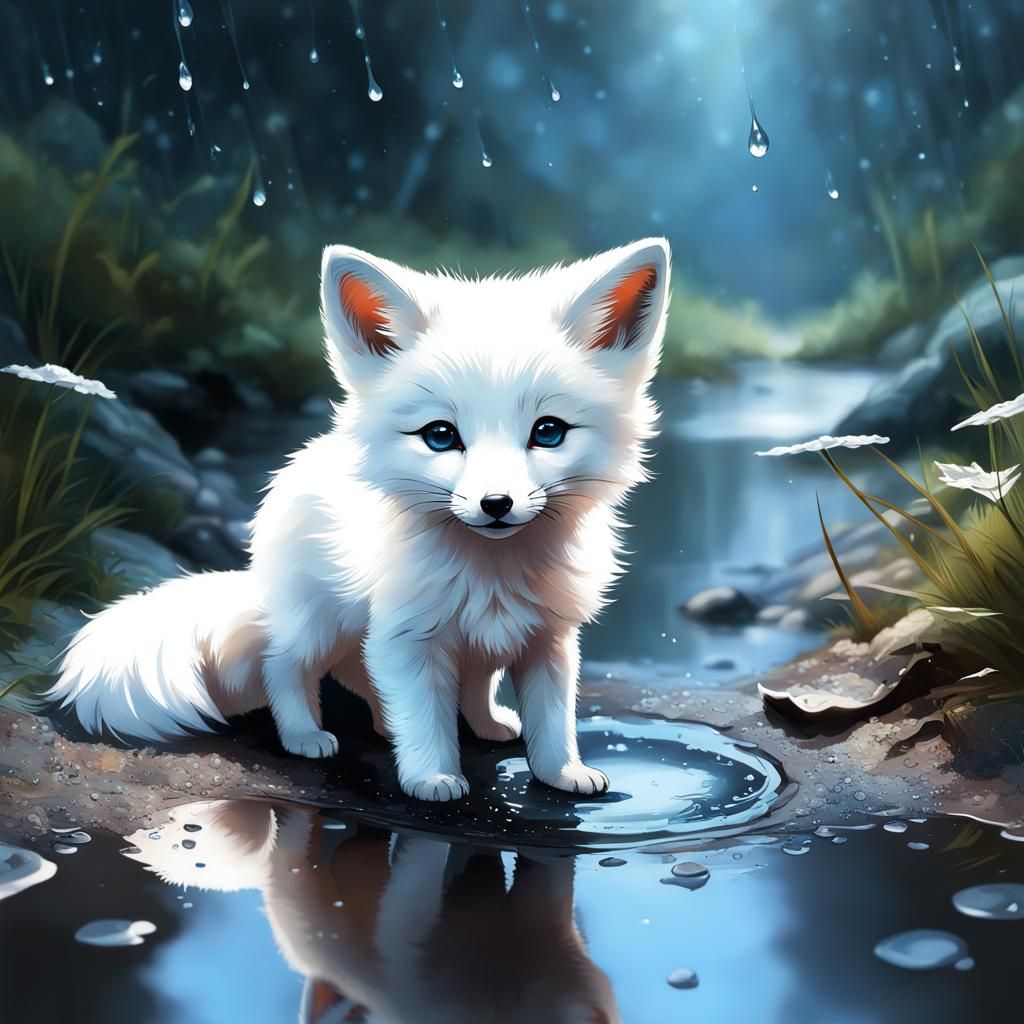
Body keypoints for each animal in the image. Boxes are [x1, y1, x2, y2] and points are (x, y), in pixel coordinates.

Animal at [48, 237, 670, 801]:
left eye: (548, 432)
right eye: (440, 435)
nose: (496, 505)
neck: (492, 572)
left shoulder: (547, 641)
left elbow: (552, 720)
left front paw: (561, 773)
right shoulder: (409, 637)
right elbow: (423, 716)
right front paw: (432, 779)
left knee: (393, 677)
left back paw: (464, 724)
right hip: (319, 623)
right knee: (285, 665)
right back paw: (306, 736)